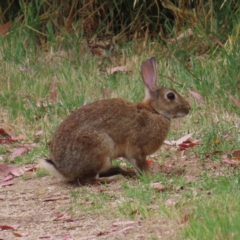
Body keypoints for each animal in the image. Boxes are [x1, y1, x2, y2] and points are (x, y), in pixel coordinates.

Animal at [39, 56, 189, 184]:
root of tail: (62, 170)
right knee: (89, 179)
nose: (188, 108)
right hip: (100, 148)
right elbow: (140, 163)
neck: (154, 111)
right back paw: (115, 178)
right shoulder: (136, 148)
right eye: (170, 96)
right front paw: (150, 175)